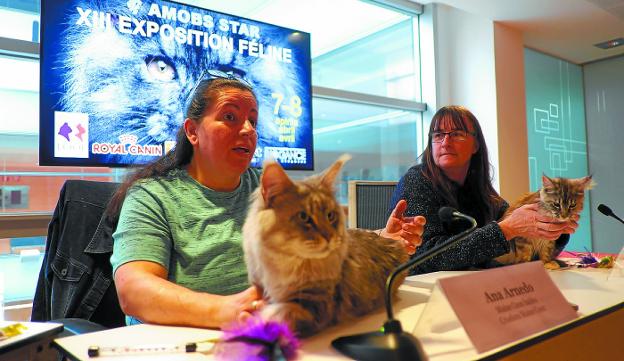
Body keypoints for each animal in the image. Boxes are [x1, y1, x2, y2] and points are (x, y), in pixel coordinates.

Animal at [243, 155, 410, 338]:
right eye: (304, 217)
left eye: (330, 216)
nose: (329, 237)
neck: (285, 263)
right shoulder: (259, 284)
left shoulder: (317, 304)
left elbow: (280, 315)